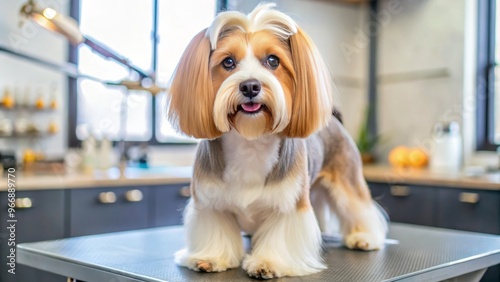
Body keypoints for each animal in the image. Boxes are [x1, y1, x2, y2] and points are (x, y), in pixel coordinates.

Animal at [168, 4, 386, 280]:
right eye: (228, 62)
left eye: (272, 60)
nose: (250, 86)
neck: (250, 140)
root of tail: (333, 119)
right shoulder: (209, 203)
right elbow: (216, 228)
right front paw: (210, 257)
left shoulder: (290, 204)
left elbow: (280, 235)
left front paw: (268, 262)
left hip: (346, 178)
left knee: (358, 206)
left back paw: (364, 237)